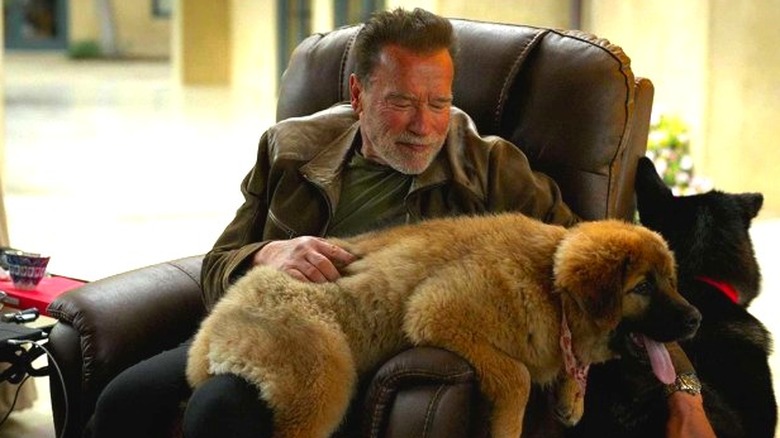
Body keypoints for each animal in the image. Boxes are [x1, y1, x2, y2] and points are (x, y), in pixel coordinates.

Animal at [187, 215, 700, 438]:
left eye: (672, 281)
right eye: (643, 287)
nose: (696, 319)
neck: (550, 285)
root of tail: (210, 328)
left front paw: (572, 398)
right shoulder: (437, 311)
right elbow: (516, 376)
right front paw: (509, 426)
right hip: (322, 382)